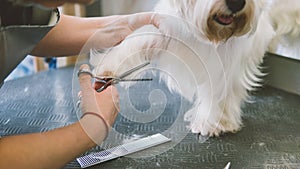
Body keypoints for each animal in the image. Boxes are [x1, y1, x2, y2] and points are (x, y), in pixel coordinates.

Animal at [90, 0, 276, 137]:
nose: (236, 3)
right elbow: (142, 37)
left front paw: (212, 122)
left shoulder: (228, 61)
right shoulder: (168, 25)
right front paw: (109, 67)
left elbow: (218, 91)